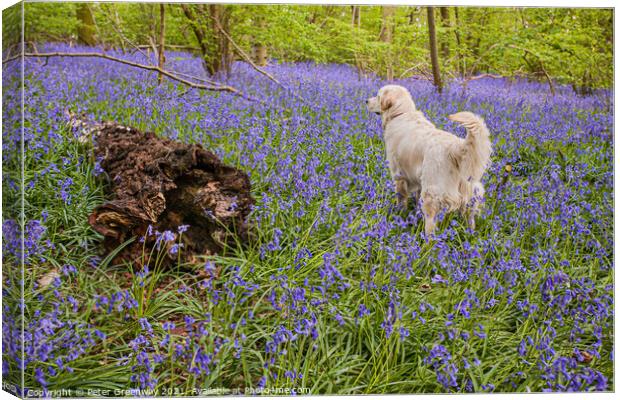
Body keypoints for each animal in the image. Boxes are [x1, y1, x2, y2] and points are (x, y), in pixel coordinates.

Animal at [366, 83, 492, 234]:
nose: (366, 101)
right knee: (470, 218)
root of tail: (456, 147)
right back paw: (470, 234)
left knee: (431, 226)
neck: (401, 113)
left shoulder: (399, 175)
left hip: (431, 194)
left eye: (378, 96)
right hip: (471, 192)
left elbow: (401, 199)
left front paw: (400, 213)